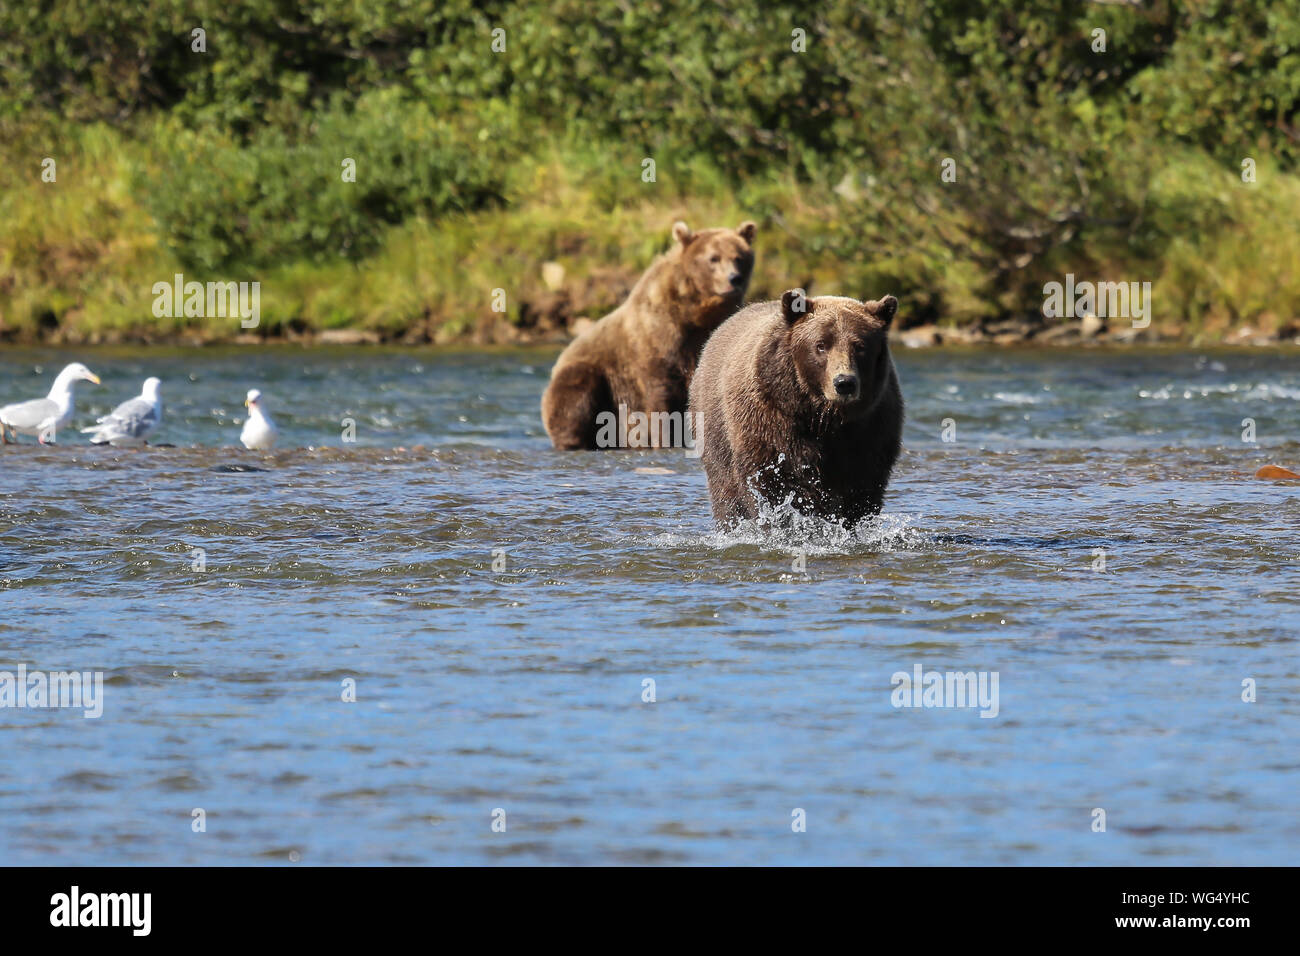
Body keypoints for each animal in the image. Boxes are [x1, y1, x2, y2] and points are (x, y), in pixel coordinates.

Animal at [540, 222, 759, 450]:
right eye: (713, 258)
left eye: (738, 257)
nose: (734, 279)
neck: (695, 313)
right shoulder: (657, 341)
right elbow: (660, 394)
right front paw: (666, 440)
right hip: (589, 377)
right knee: (576, 400)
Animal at [691, 291, 904, 530]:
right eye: (821, 345)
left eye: (860, 346)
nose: (844, 383)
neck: (821, 415)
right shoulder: (770, 420)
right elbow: (772, 484)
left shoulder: (871, 428)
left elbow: (861, 488)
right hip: (715, 431)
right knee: (726, 490)